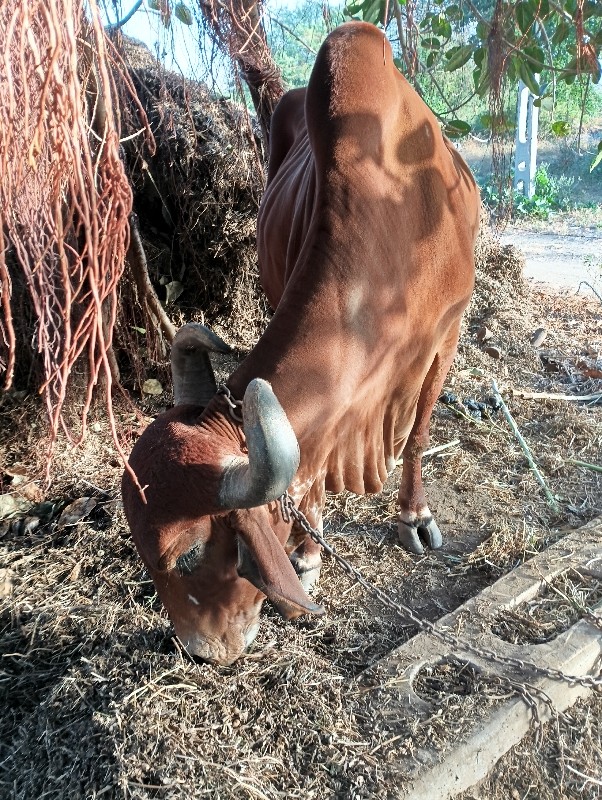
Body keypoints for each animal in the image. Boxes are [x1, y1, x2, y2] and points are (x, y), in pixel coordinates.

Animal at [122, 21, 478, 664]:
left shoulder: (447, 333)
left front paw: (413, 516)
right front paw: (309, 553)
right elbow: (310, 465)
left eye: (187, 555)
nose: (198, 650)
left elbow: (417, 435)